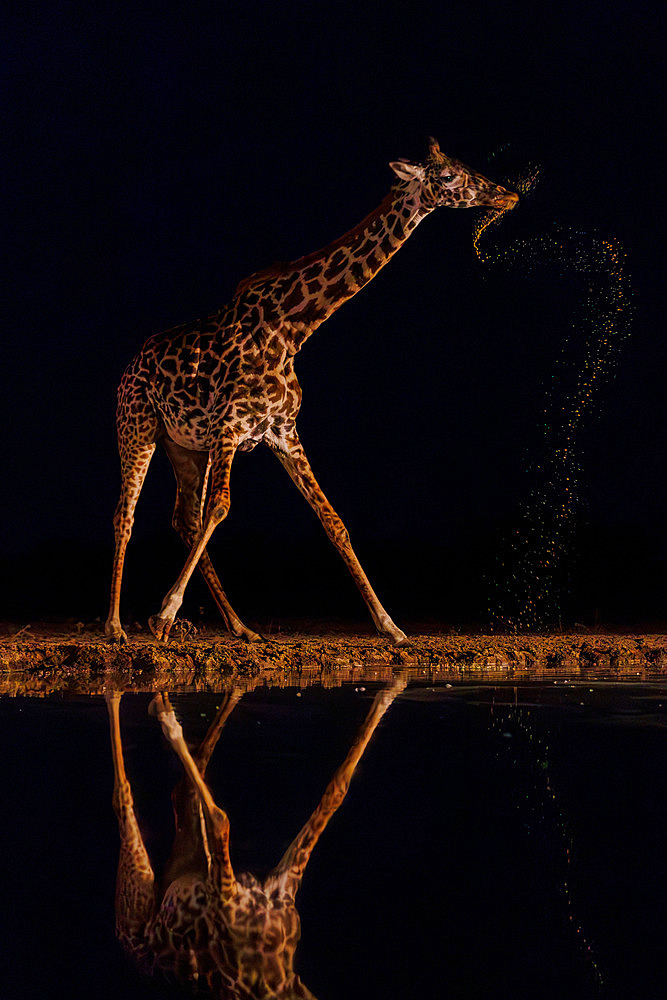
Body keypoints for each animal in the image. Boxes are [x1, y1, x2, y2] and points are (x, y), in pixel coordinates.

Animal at [105, 676, 408, 996]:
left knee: (177, 794)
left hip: (174, 876)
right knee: (141, 797)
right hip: (147, 901)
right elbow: (336, 789)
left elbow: (336, 789)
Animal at [107, 137, 520, 644]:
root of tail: (129, 368)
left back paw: (242, 628)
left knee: (183, 518)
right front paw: (163, 614)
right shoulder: (230, 427)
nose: (507, 195)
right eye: (446, 177)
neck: (292, 330)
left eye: (465, 165)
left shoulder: (282, 432)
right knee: (125, 515)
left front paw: (392, 626)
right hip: (138, 429)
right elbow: (221, 508)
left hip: (185, 447)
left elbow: (333, 521)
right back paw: (115, 627)